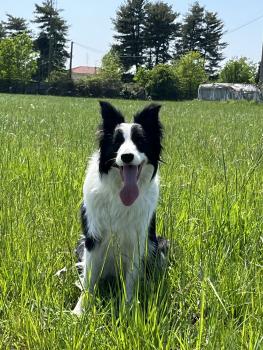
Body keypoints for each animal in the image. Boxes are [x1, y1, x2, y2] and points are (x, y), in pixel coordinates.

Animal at [73, 100, 166, 314]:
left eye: (140, 141)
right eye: (117, 142)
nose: (127, 157)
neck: (119, 194)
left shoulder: (137, 241)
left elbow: (131, 279)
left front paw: (128, 309)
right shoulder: (92, 238)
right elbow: (88, 279)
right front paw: (80, 311)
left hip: (156, 245)